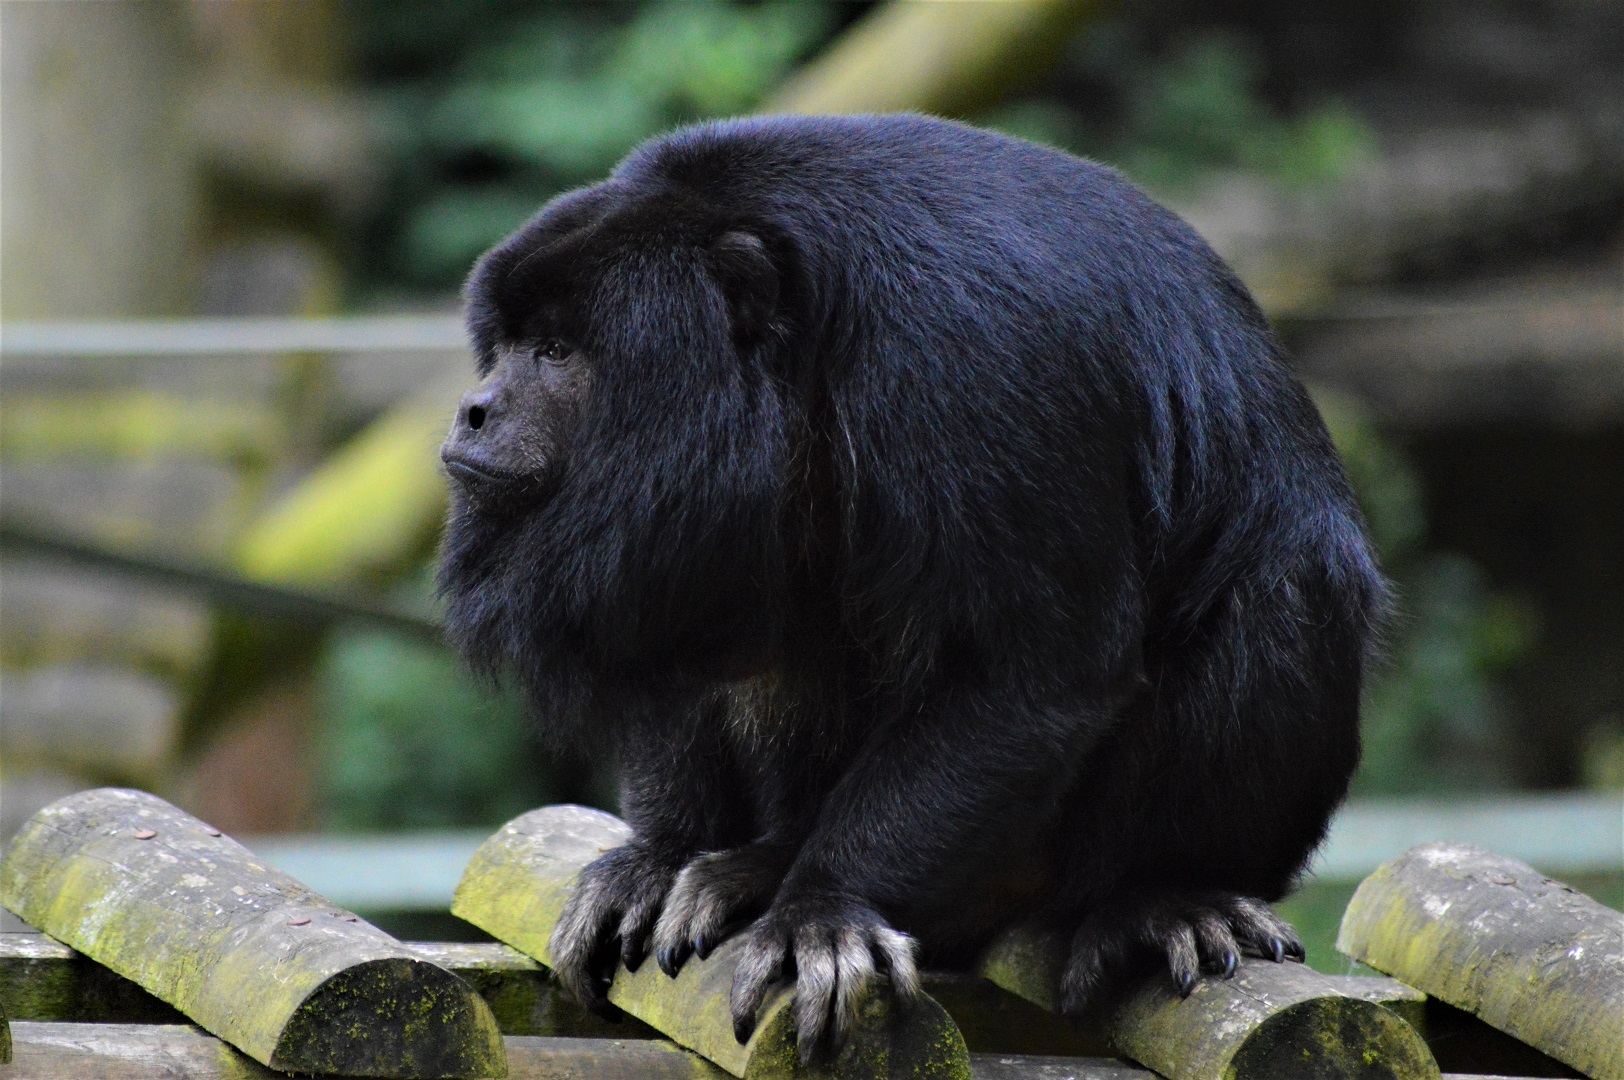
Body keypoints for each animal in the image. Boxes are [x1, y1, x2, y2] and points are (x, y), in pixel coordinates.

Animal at [437, 113, 1385, 1063]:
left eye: (556, 352)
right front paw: (664, 854)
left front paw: (823, 911)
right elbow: (677, 623)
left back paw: (1158, 897)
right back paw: (758, 861)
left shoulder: (974, 359)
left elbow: (1034, 672)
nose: (474, 408)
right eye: (507, 347)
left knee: (1284, 584)